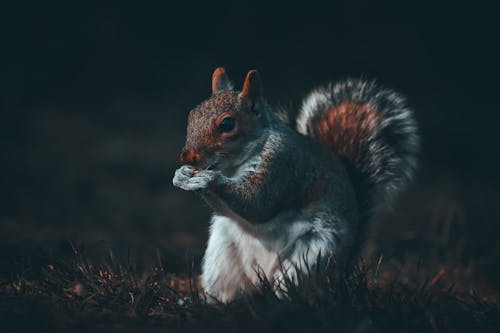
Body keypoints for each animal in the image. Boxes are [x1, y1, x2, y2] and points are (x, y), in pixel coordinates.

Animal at [172, 67, 418, 300]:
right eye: (192, 115)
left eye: (227, 124)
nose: (186, 156)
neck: (233, 165)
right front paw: (181, 175)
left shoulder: (283, 165)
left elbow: (257, 203)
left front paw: (208, 179)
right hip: (221, 258)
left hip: (310, 257)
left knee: (293, 289)